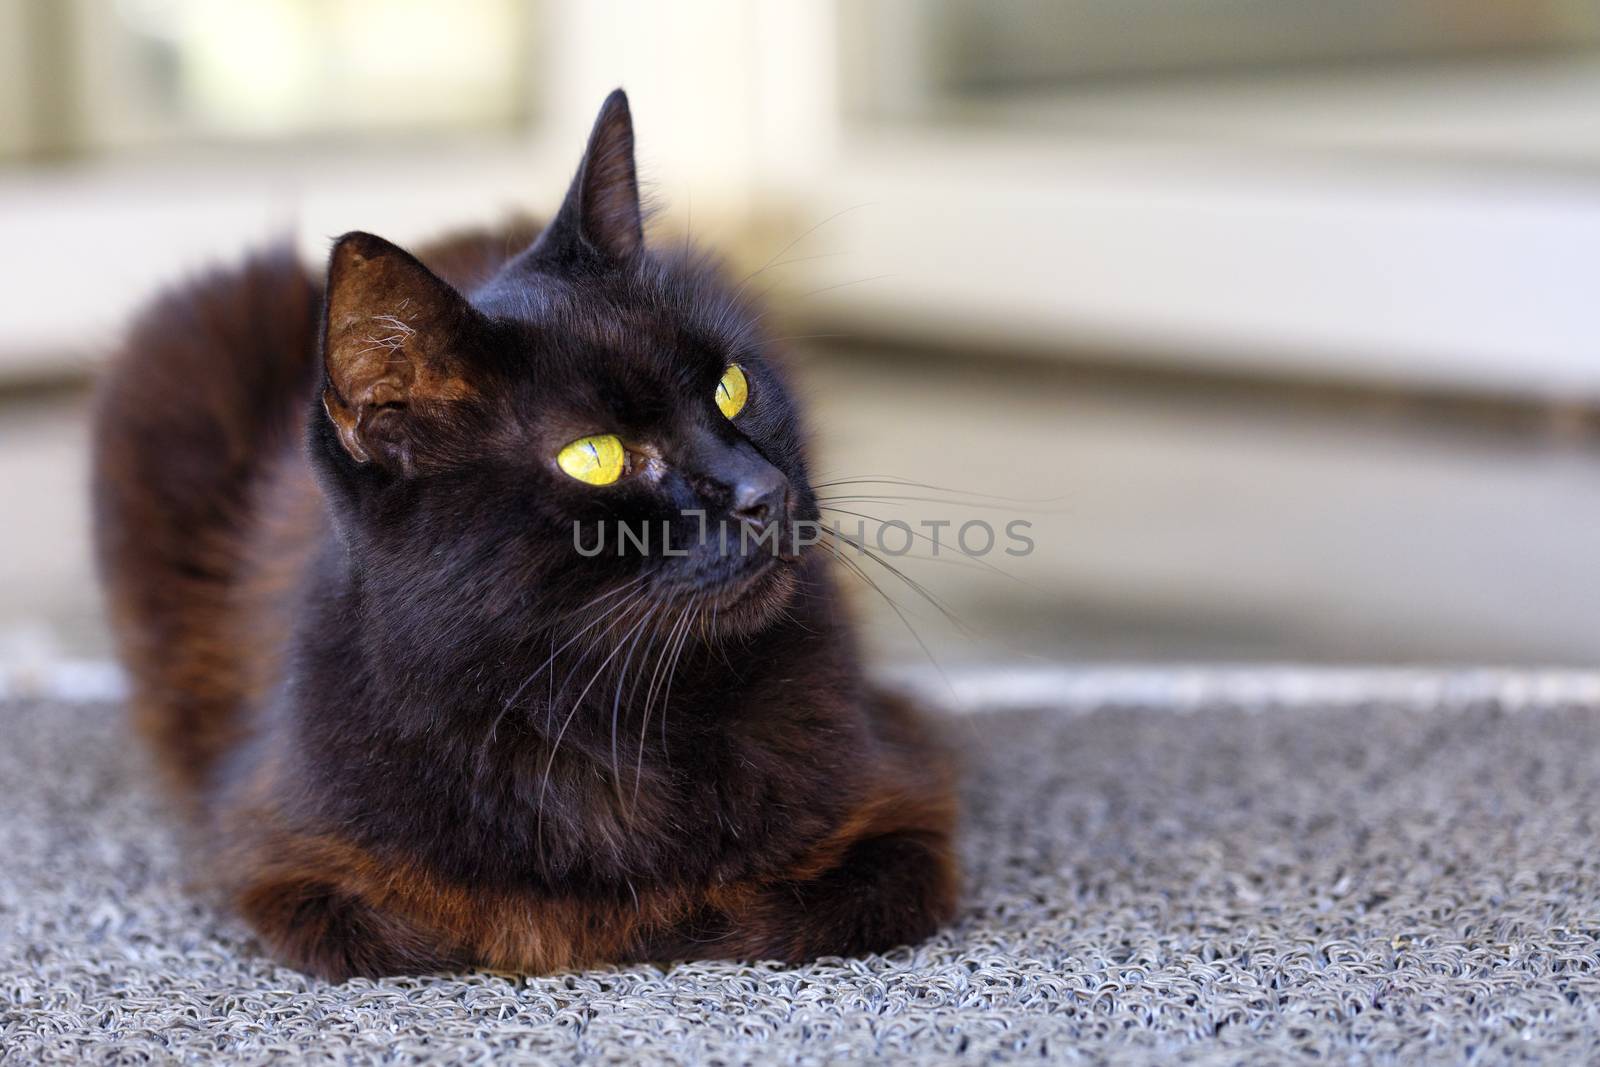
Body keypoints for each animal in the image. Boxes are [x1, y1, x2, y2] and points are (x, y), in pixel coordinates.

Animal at [87, 87, 953, 979]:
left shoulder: (898, 809)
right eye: (594, 456)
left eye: (732, 386)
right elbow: (426, 929)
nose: (766, 492)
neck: (594, 707)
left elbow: (776, 916)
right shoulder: (287, 858)